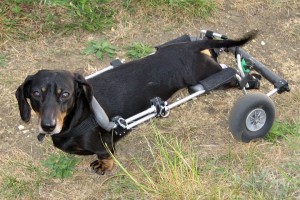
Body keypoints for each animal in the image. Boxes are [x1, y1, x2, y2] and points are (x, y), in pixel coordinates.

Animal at [15, 31, 255, 173]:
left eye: (65, 94)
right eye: (36, 93)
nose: (48, 126)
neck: (79, 116)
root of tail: (188, 47)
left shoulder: (104, 144)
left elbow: (105, 154)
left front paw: (104, 165)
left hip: (207, 74)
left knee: (232, 74)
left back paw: (251, 80)